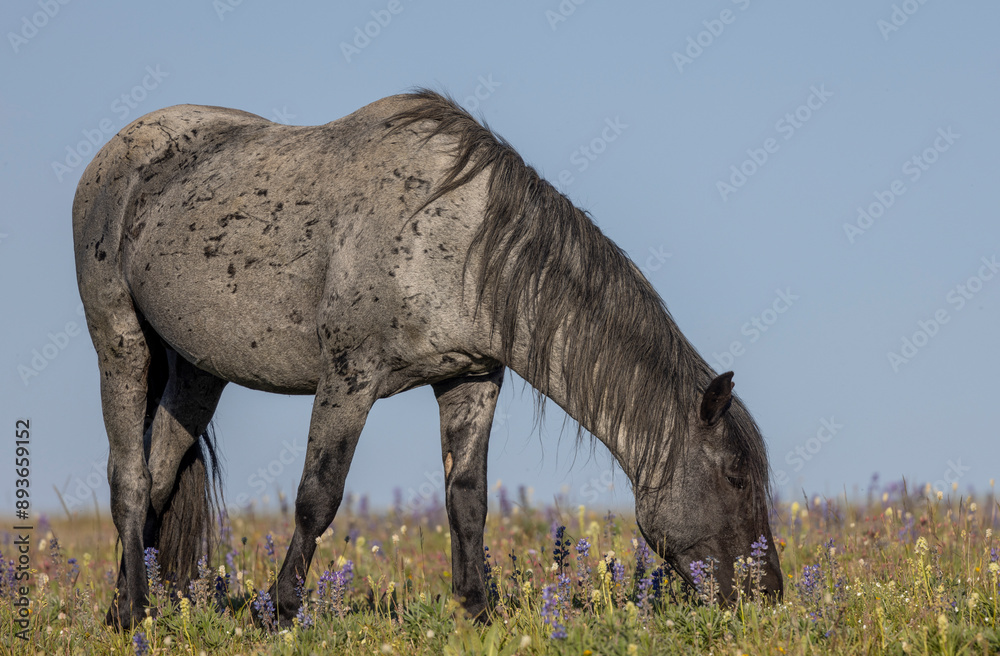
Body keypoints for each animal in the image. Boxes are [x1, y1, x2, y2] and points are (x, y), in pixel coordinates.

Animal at [74, 89, 784, 628]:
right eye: (736, 477)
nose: (769, 593)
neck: (459, 242)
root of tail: (119, 152)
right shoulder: (349, 379)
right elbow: (316, 498)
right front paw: (279, 611)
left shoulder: (471, 381)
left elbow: (467, 500)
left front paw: (479, 610)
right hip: (119, 343)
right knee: (128, 478)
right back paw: (133, 614)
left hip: (198, 371)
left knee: (159, 477)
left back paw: (126, 604)